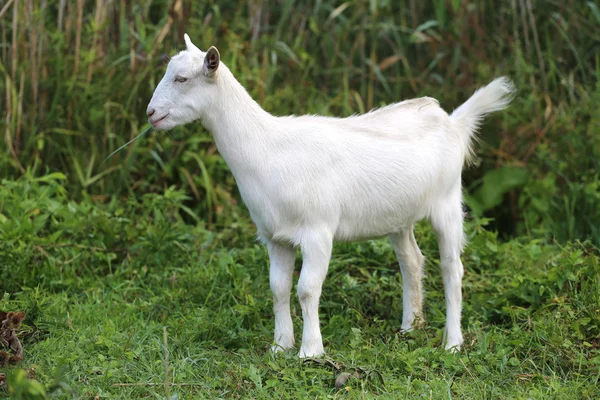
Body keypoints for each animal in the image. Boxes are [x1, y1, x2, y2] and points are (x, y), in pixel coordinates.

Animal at [146, 34, 516, 358]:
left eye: (181, 78)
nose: (150, 113)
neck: (268, 147)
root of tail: (453, 122)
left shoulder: (317, 231)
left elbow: (307, 289)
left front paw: (310, 351)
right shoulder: (274, 236)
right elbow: (278, 288)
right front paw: (280, 346)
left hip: (447, 202)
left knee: (452, 268)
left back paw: (452, 343)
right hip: (400, 217)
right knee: (412, 260)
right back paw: (410, 327)